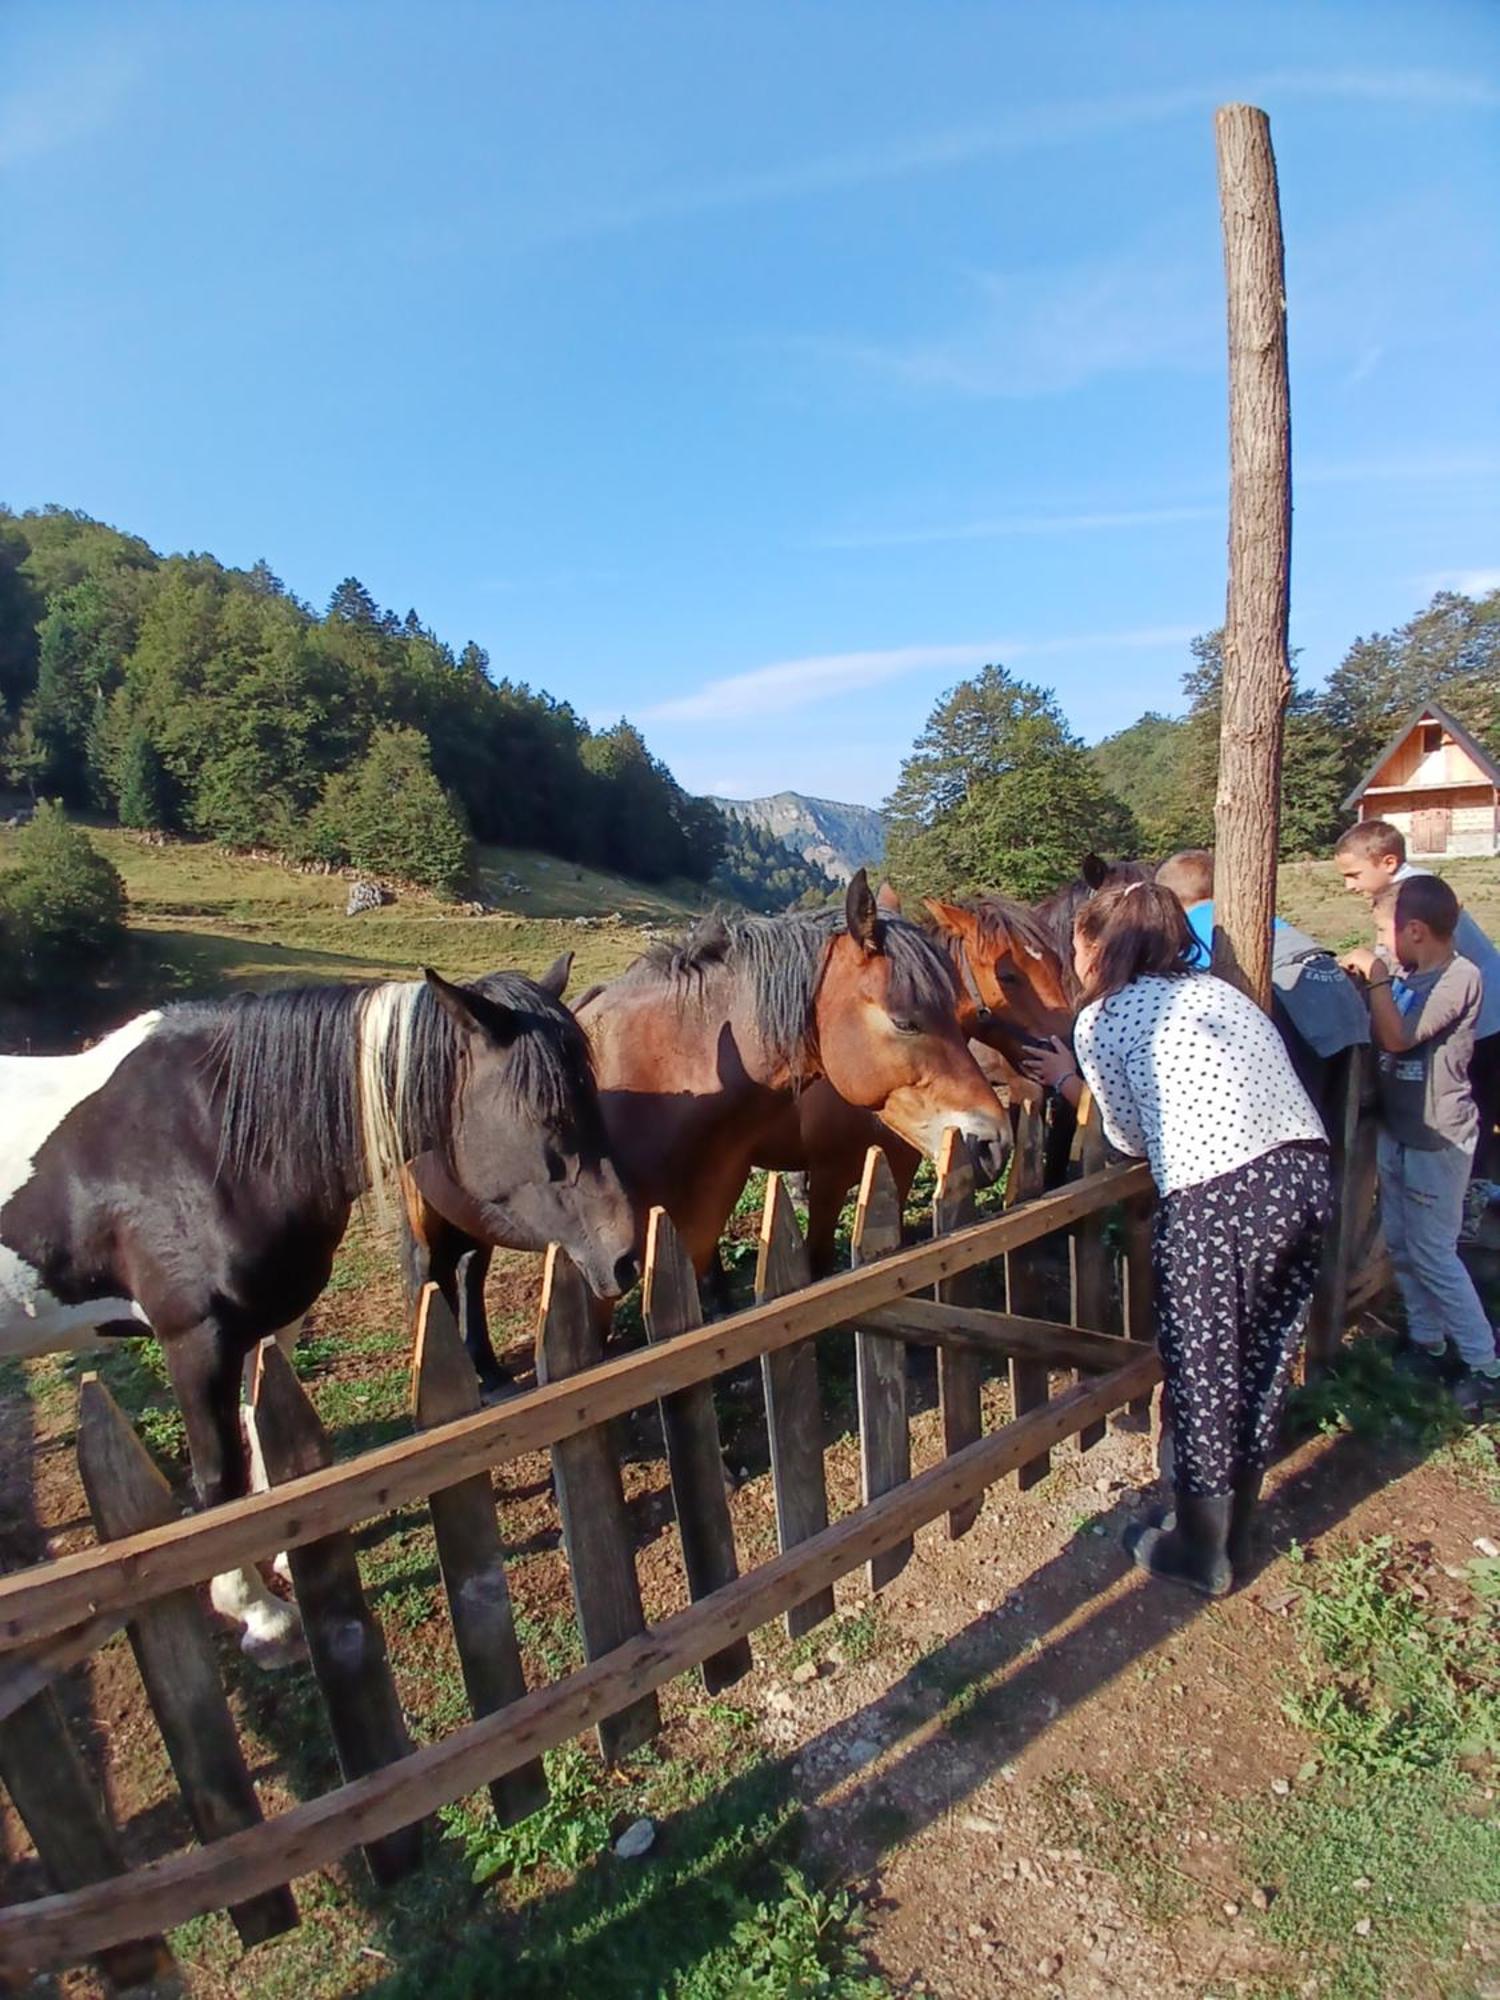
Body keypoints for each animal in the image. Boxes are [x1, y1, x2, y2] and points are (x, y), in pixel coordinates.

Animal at [0, 960, 640, 1664]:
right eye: (549, 1117)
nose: (625, 1257)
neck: (212, 1145)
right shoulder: (196, 1339)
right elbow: (219, 1478)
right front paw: (257, 1611)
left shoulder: (271, 1326)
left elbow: (261, 1435)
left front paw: (286, 1553)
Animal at [408, 876, 1012, 1392]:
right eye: (905, 1021)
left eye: (962, 1012)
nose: (995, 1141)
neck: (660, 1087)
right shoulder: (596, 1264)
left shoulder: (695, 1232)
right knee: (436, 1275)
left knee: (470, 1270)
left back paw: (488, 1369)